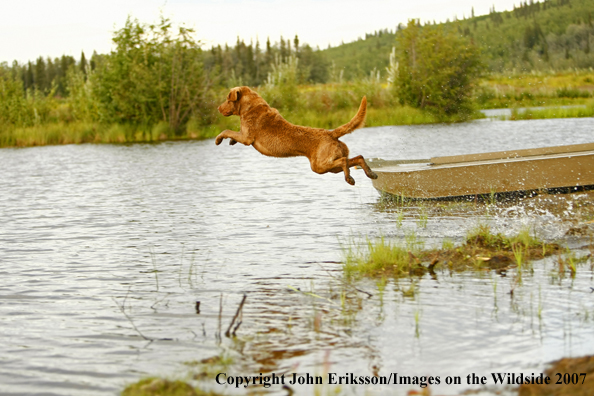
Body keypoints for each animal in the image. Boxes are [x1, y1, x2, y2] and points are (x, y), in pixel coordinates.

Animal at [215, 86, 376, 185]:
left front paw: (218, 140)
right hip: (330, 165)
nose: (218, 108)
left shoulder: (247, 137)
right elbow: (232, 134)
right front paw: (231, 142)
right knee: (357, 158)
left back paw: (350, 178)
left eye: (228, 100)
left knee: (344, 161)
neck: (249, 106)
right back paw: (370, 173)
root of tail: (331, 133)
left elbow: (226, 131)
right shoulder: (243, 135)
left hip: (319, 165)